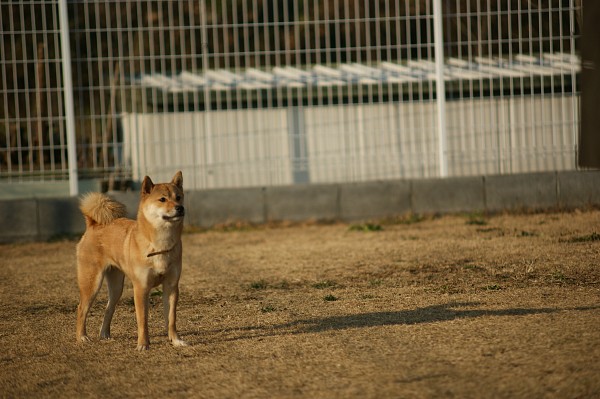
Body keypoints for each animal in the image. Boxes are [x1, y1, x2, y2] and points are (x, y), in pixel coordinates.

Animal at [76, 171, 188, 350]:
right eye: (162, 199)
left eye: (178, 197)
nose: (180, 208)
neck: (159, 244)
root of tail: (93, 224)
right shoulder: (141, 288)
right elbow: (142, 320)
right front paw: (143, 344)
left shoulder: (171, 286)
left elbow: (171, 319)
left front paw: (176, 340)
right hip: (92, 283)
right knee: (81, 309)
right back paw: (82, 337)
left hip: (116, 287)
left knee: (108, 309)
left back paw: (104, 335)